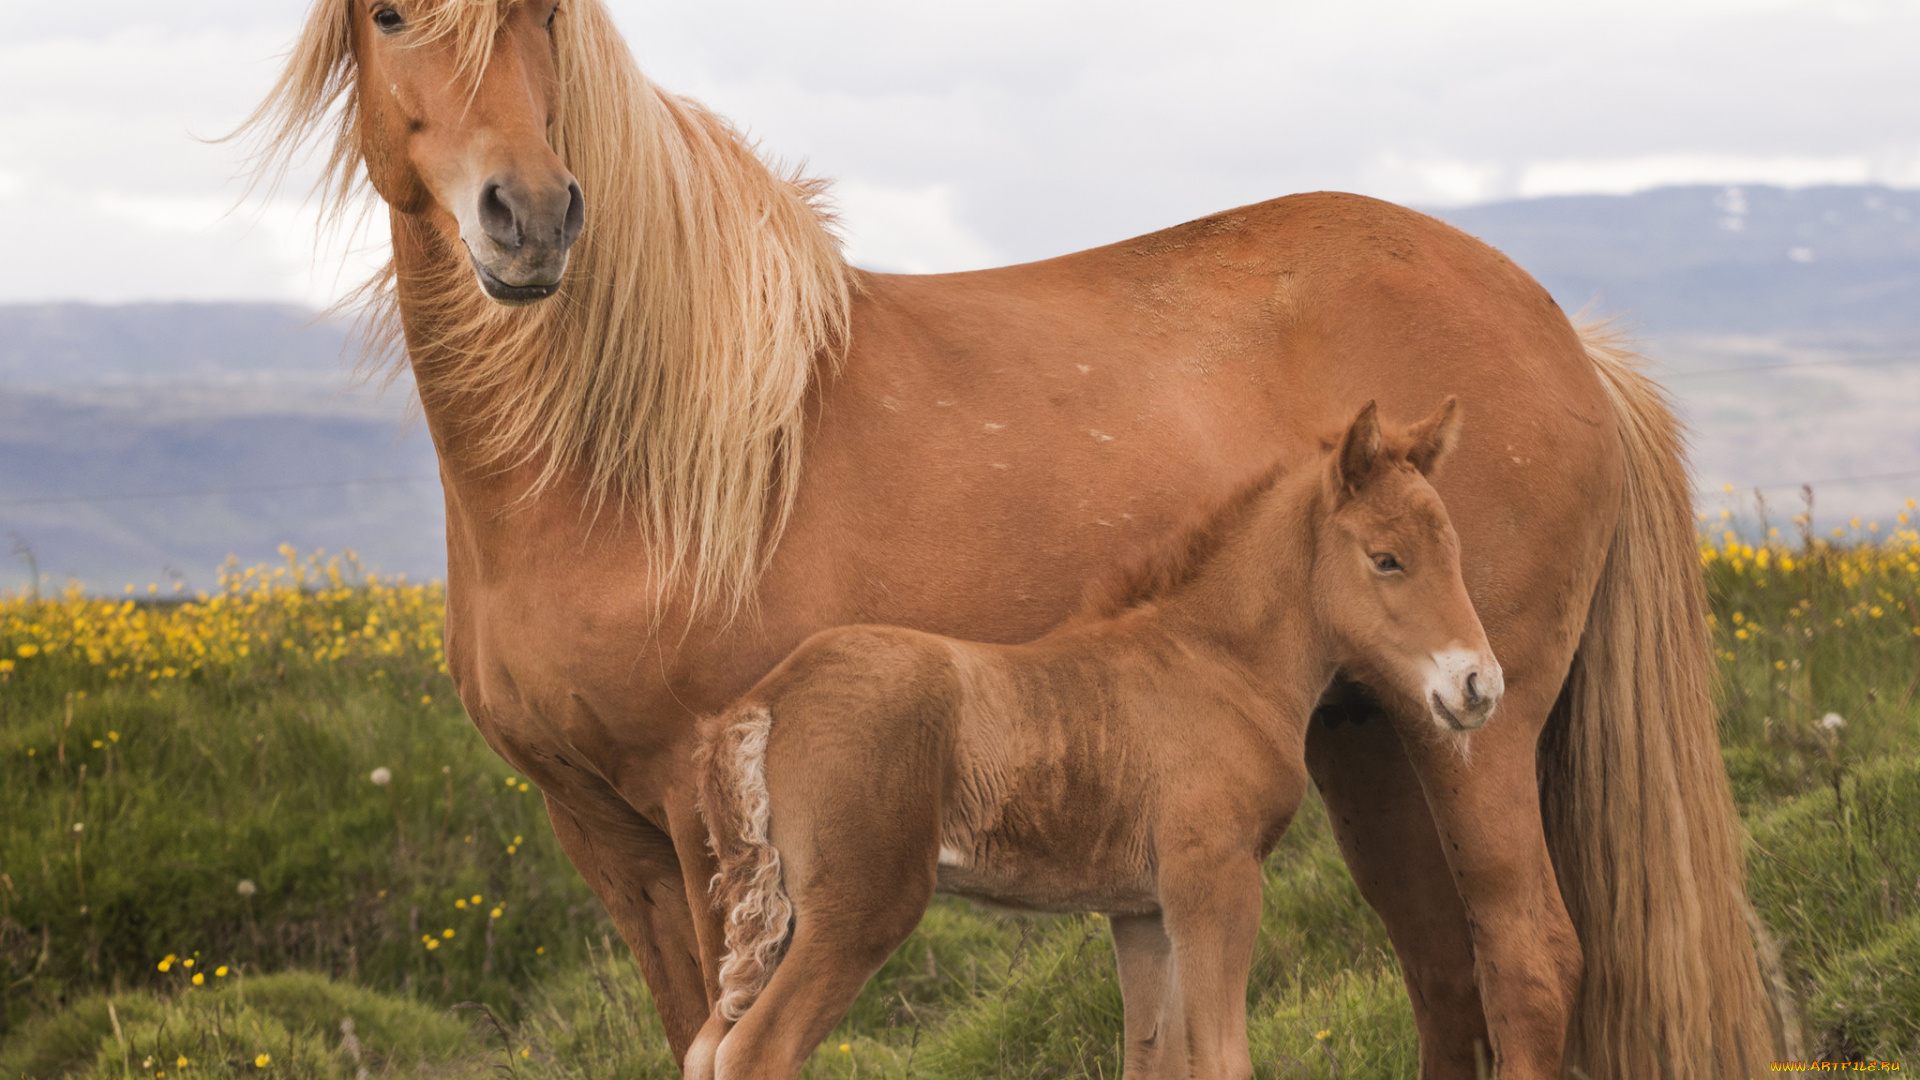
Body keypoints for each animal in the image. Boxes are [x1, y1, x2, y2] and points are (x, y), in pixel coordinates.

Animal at [695, 397, 1497, 1076]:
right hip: (856, 909)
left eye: (1456, 550)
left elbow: (1153, 1057)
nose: (1479, 686)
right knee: (752, 1052)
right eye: (1386, 557)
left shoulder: (1142, 910)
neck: (1218, 663)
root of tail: (767, 698)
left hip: (778, 917)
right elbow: (1223, 1057)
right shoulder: (1216, 879)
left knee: (709, 1045)